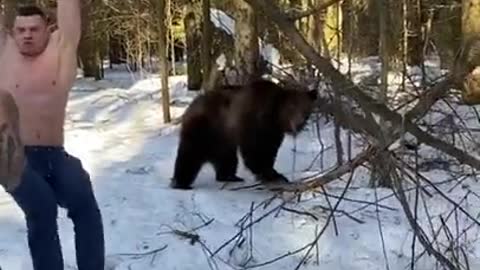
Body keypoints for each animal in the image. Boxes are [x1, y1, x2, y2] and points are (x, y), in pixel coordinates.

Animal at [171, 77, 316, 190]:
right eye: (292, 107)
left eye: (306, 109)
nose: (299, 124)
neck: (274, 117)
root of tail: (191, 105)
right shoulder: (254, 122)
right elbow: (255, 151)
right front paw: (272, 175)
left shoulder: (273, 132)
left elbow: (270, 151)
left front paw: (274, 173)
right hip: (207, 128)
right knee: (190, 154)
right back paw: (181, 183)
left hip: (223, 140)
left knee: (226, 159)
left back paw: (229, 176)